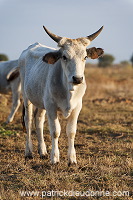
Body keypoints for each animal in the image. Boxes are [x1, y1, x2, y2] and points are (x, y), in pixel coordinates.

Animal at [19, 25, 104, 165]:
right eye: (64, 57)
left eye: (85, 57)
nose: (77, 78)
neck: (69, 90)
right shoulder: (51, 107)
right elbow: (55, 131)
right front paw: (54, 158)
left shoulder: (76, 108)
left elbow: (71, 132)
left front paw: (72, 159)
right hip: (27, 97)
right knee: (28, 121)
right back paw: (29, 152)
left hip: (41, 102)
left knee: (39, 120)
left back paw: (42, 151)